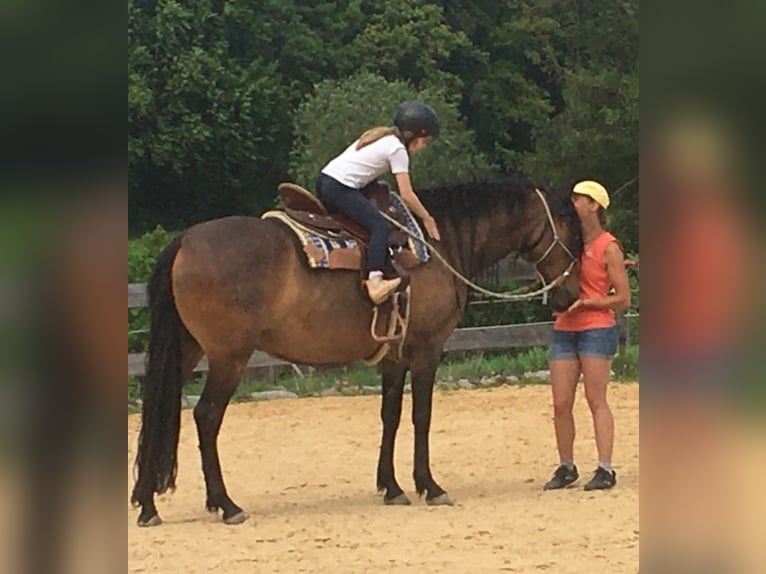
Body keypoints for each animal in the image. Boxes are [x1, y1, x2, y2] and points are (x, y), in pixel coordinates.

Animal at [130, 178, 584, 528]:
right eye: (569, 229)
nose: (570, 295)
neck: (439, 245)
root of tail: (185, 240)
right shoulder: (427, 348)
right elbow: (421, 416)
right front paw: (430, 486)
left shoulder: (394, 355)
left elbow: (390, 415)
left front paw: (393, 487)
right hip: (228, 358)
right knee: (206, 417)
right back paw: (226, 505)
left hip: (187, 350)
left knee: (157, 409)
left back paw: (148, 504)